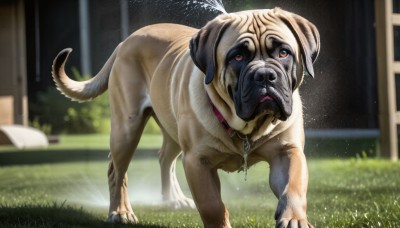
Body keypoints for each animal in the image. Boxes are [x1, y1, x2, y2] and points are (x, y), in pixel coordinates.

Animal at [52, 7, 318, 228]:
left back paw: (174, 200)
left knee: (164, 158)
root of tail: (126, 40)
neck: (246, 127)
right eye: (238, 57)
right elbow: (212, 205)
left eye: (283, 52)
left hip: (171, 128)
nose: (264, 75)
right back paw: (120, 212)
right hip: (126, 129)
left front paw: (294, 219)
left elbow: (293, 187)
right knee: (116, 171)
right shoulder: (197, 161)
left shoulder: (287, 152)